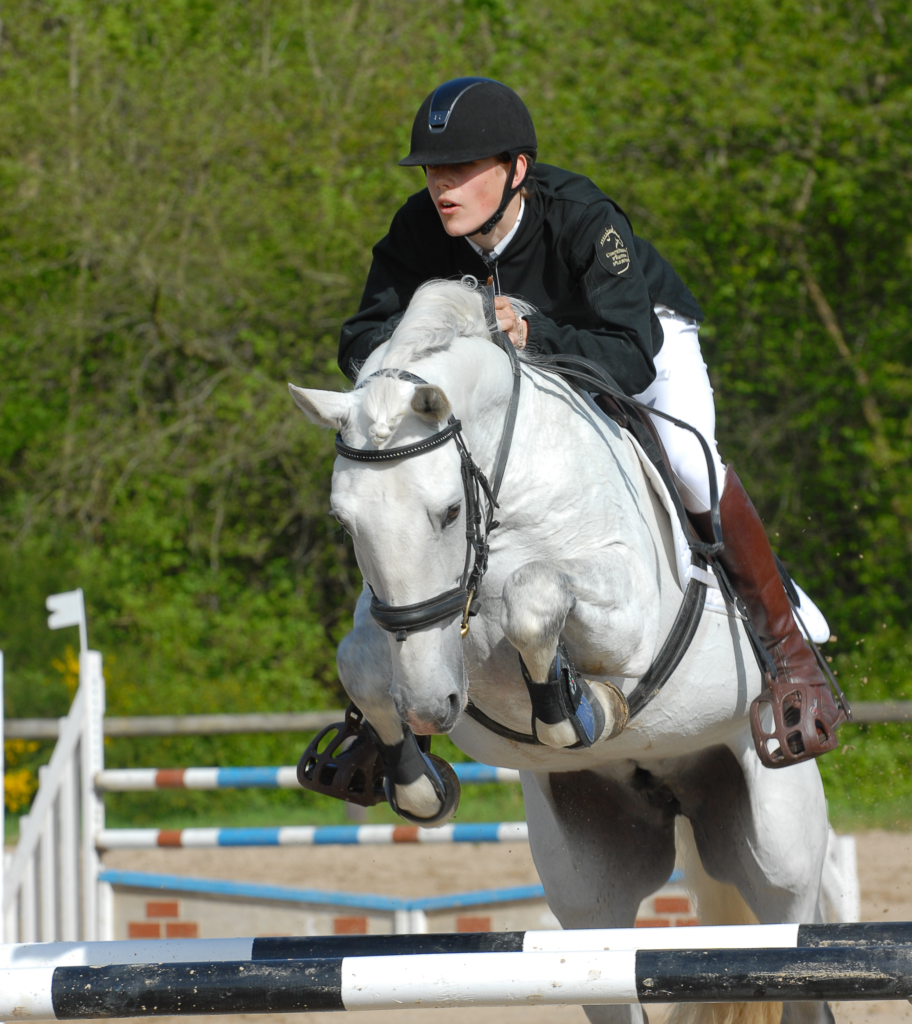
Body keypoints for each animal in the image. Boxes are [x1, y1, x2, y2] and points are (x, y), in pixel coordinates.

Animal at [296, 280, 839, 1024]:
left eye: (446, 511)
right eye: (346, 523)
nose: (431, 706)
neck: (507, 499)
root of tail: (677, 788)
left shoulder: (628, 610)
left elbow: (535, 595)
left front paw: (578, 710)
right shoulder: (407, 633)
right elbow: (359, 661)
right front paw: (413, 780)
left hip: (778, 850)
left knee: (793, 946)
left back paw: (795, 700)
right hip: (587, 891)